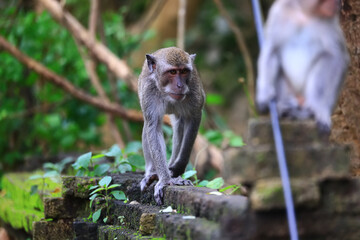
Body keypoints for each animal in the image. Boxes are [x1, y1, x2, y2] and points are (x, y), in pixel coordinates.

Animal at [139, 46, 205, 204]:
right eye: (173, 72)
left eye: (184, 71)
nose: (180, 85)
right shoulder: (148, 91)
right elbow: (153, 127)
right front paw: (165, 180)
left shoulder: (194, 90)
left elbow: (194, 118)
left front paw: (177, 169)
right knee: (148, 126)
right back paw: (152, 172)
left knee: (180, 124)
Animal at [256, 0, 348, 132]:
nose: (338, 3)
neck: (304, 13)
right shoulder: (278, 12)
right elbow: (272, 49)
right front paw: (264, 93)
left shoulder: (331, 21)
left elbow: (334, 56)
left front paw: (319, 107)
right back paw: (283, 107)